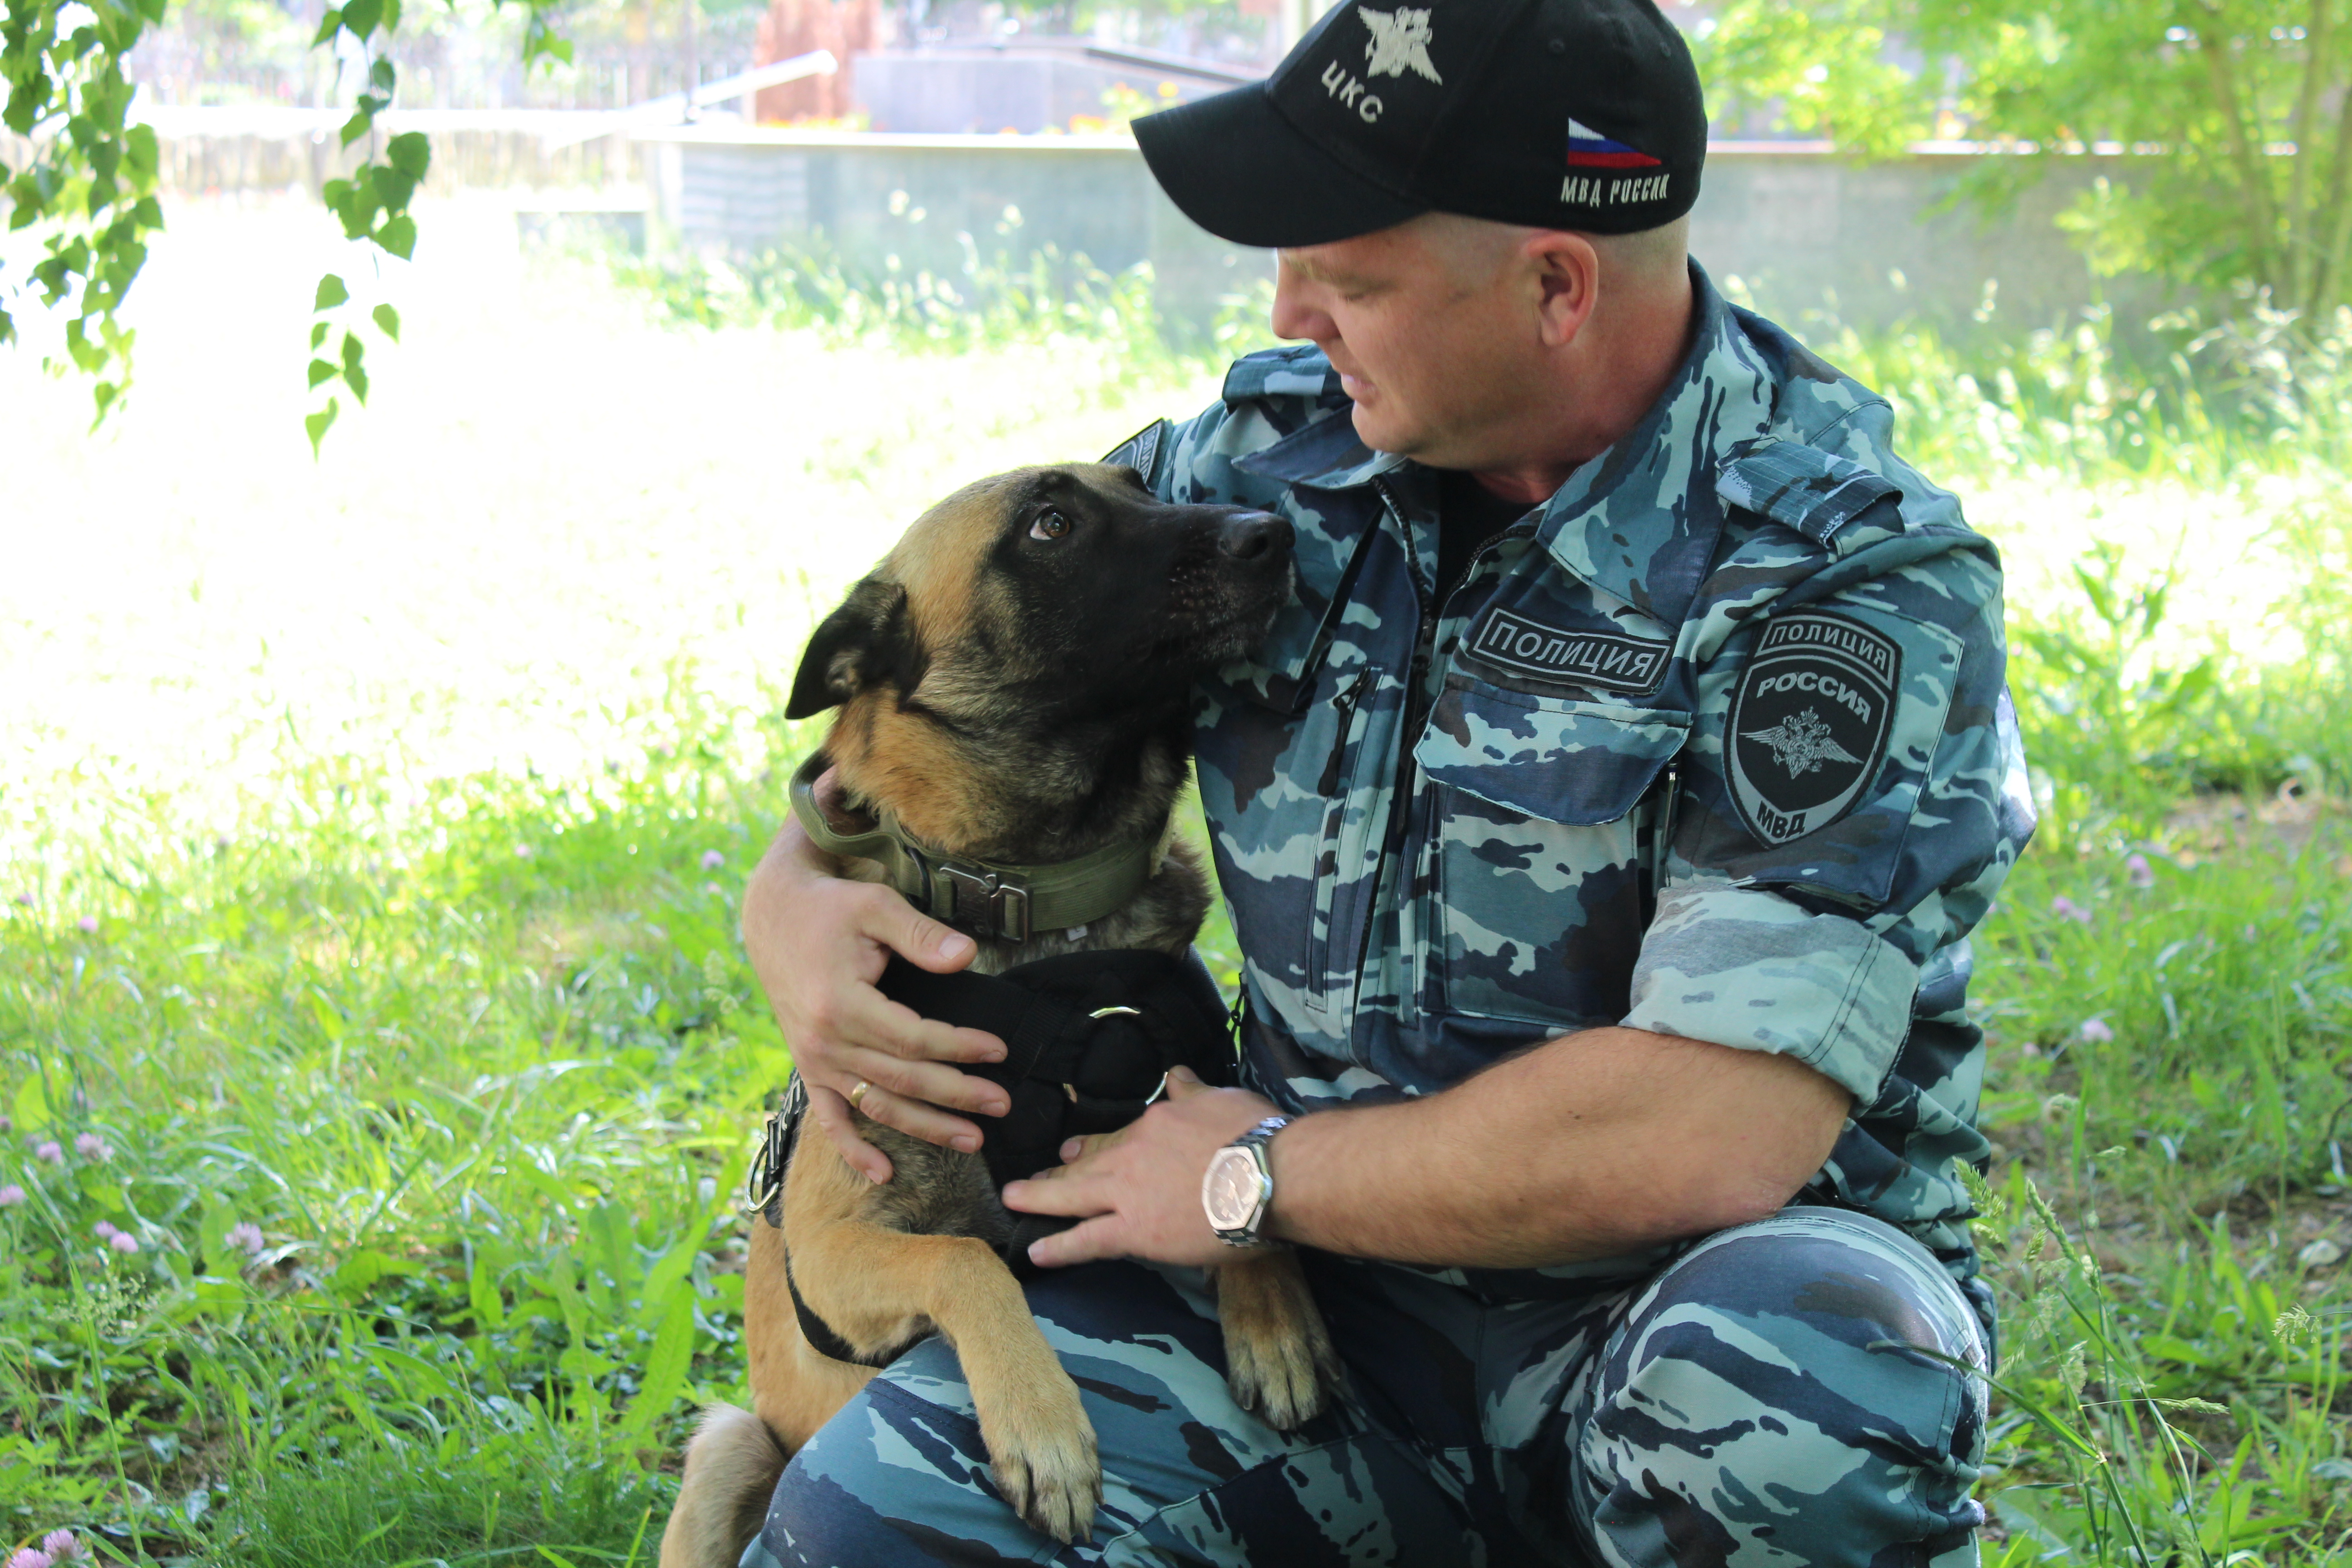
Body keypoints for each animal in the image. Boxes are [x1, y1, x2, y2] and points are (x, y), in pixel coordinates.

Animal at [663, 465, 1345, 1568]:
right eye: (1050, 523)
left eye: (1142, 483)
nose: (1270, 532)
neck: (1038, 914)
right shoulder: (835, 1250)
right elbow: (970, 1256)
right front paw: (1043, 1427)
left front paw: (1273, 1316)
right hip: (730, 1445)